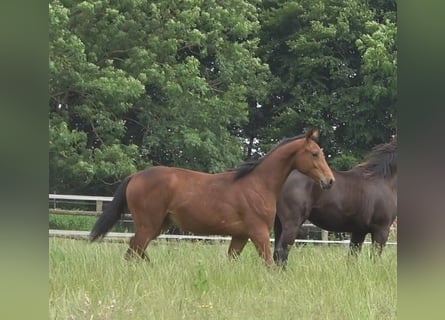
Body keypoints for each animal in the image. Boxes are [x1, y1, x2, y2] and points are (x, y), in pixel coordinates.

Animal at [90, 127, 332, 264]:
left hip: (158, 225)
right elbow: (269, 264)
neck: (258, 184)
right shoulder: (259, 232)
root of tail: (135, 176)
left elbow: (231, 262)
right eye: (314, 154)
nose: (329, 181)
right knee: (133, 252)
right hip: (148, 225)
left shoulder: (240, 236)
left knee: (136, 251)